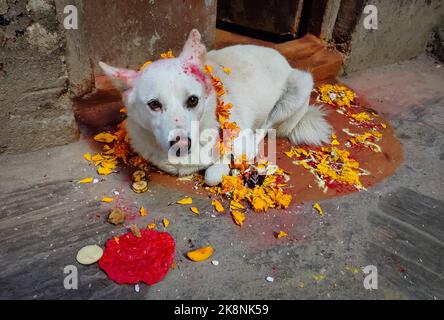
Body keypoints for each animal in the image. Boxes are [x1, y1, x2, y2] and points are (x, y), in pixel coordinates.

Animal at [99, 30, 330, 186]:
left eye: (193, 100)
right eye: (154, 104)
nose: (181, 143)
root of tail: (282, 58)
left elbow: (214, 172)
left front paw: (225, 163)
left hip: (298, 88)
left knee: (266, 127)